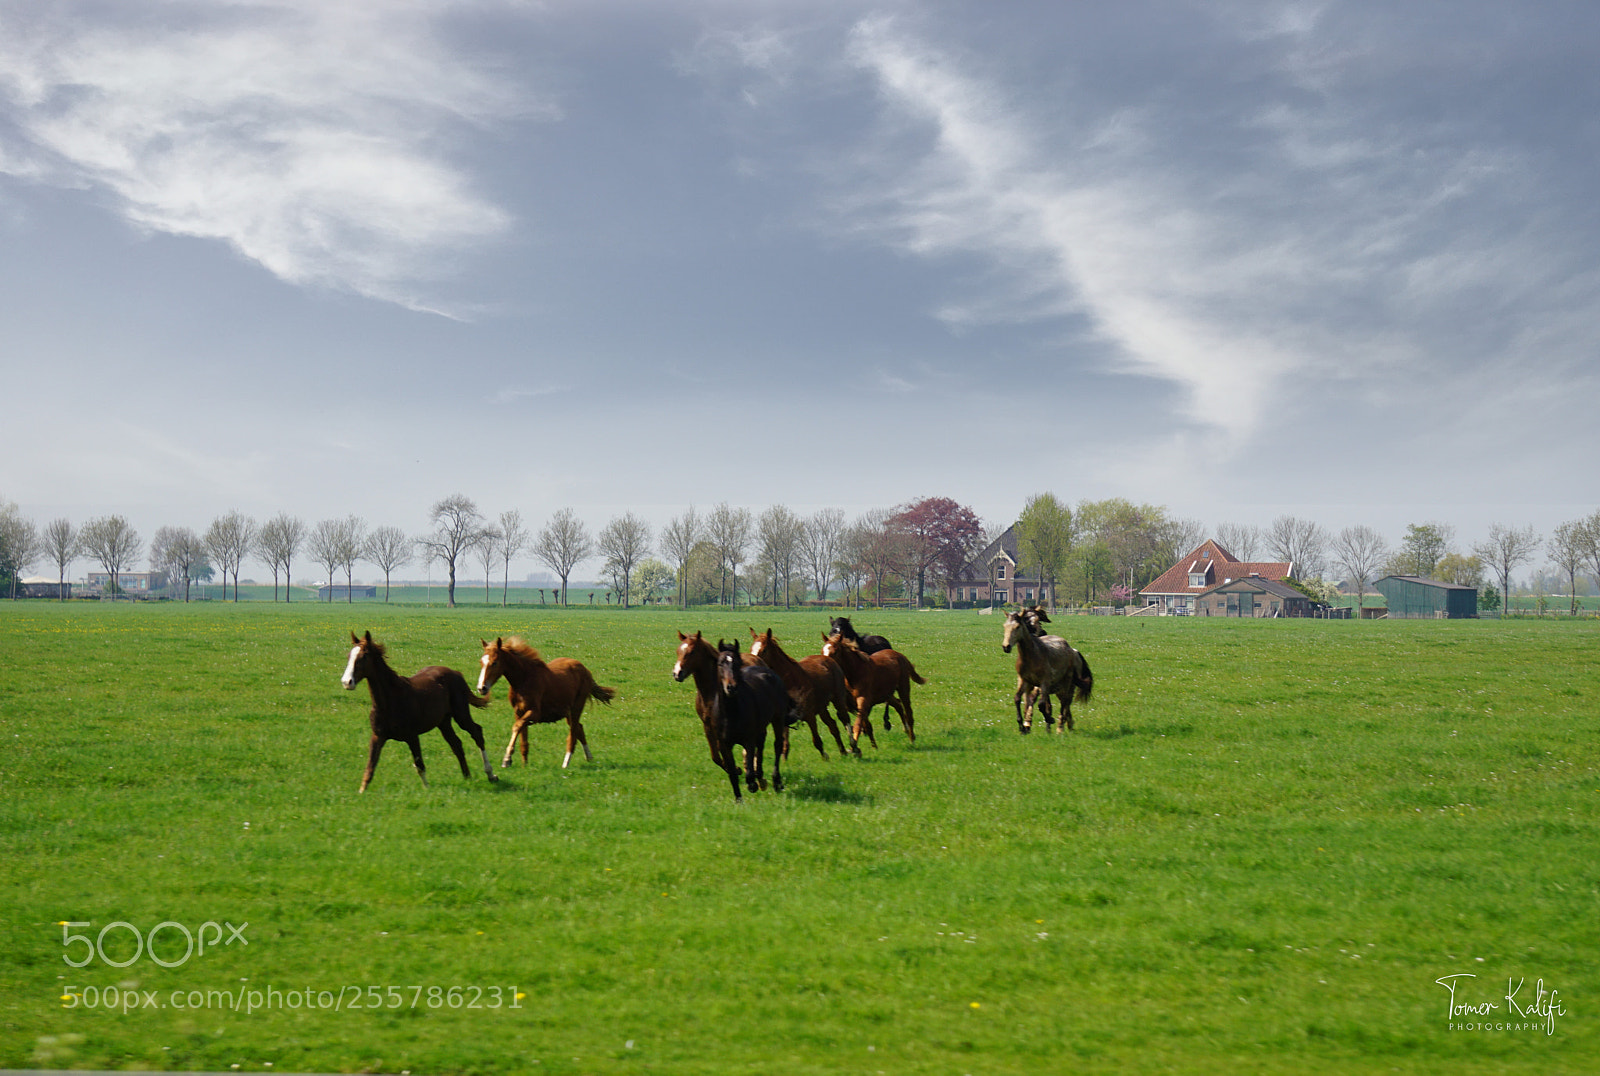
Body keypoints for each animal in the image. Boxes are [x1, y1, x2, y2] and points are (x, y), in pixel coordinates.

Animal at [339, 631, 496, 793]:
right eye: (349, 656)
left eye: (363, 656)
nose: (347, 682)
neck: (390, 701)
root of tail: (456, 673)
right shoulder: (378, 736)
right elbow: (370, 767)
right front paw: (361, 791)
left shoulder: (412, 736)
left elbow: (419, 765)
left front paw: (427, 789)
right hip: (443, 722)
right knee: (456, 744)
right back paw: (467, 776)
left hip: (461, 715)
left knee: (477, 733)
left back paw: (490, 774)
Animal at [477, 637, 615, 769]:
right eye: (481, 662)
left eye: (494, 662)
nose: (481, 688)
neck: (524, 680)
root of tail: (585, 669)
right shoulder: (519, 712)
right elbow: (523, 738)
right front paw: (524, 765)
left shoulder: (534, 713)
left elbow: (516, 727)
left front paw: (507, 759)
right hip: (568, 712)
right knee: (579, 728)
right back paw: (589, 757)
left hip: (577, 707)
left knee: (573, 733)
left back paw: (566, 763)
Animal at [673, 631, 794, 802]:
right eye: (678, 651)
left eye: (691, 652)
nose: (677, 673)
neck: (710, 694)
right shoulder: (708, 726)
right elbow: (716, 756)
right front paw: (737, 770)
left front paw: (745, 772)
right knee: (760, 742)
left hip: (774, 719)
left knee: (772, 744)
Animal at [748, 627, 857, 758]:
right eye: (751, 649)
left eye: (764, 650)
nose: (753, 665)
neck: (791, 682)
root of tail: (829, 660)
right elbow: (783, 741)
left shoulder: (809, 715)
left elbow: (817, 740)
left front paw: (825, 757)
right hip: (822, 707)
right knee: (833, 725)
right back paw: (843, 751)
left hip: (838, 699)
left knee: (845, 719)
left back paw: (854, 747)